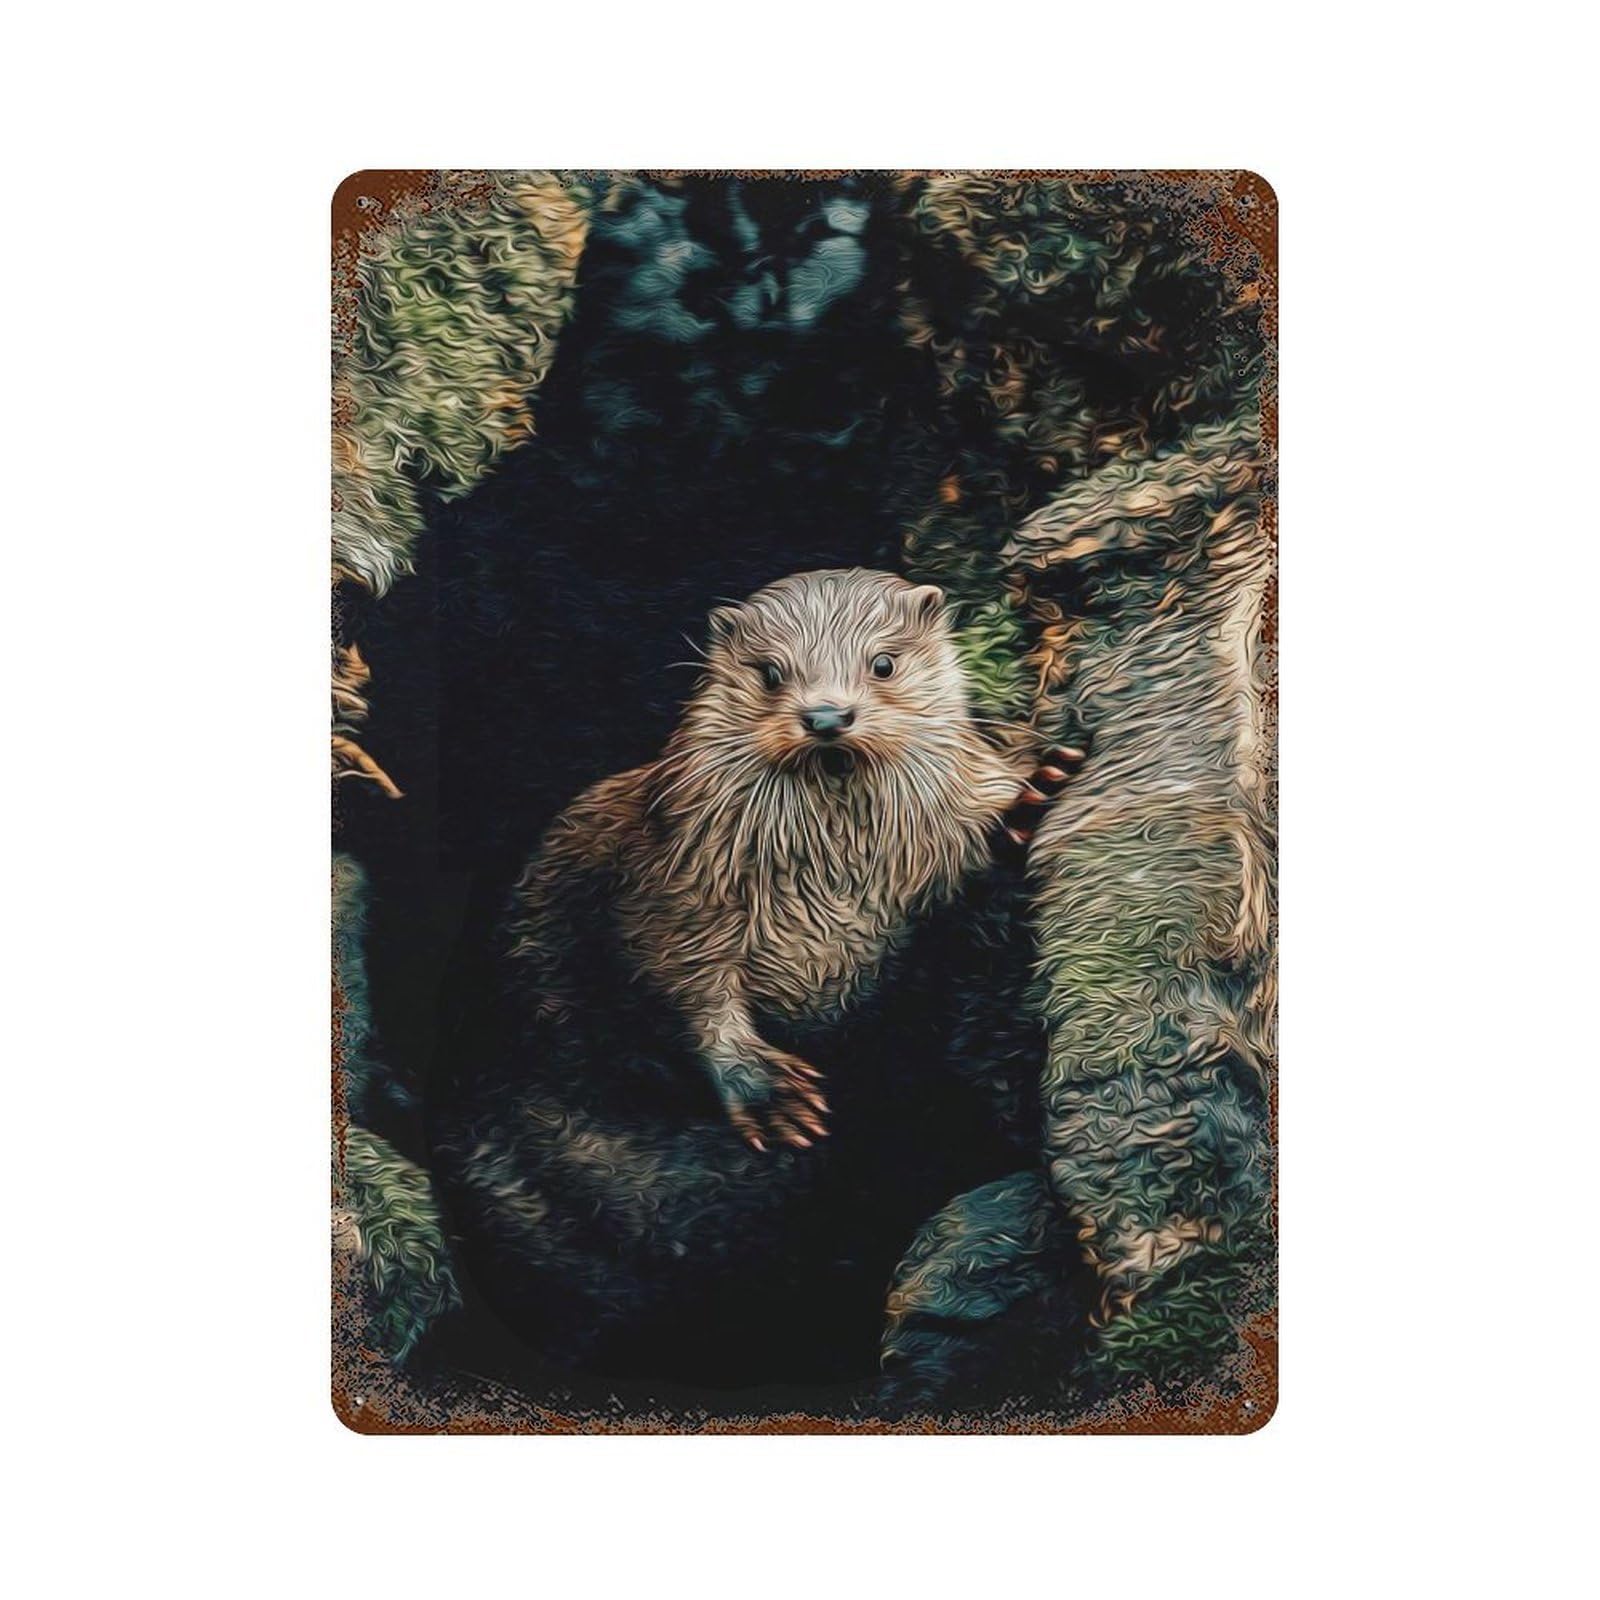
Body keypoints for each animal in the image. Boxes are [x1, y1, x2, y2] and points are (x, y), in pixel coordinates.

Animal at [506, 568, 1028, 1151]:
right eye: (772, 673)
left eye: (883, 664)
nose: (826, 715)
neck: (838, 882)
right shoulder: (676, 888)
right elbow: (686, 986)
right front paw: (766, 1093)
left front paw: (1028, 806)